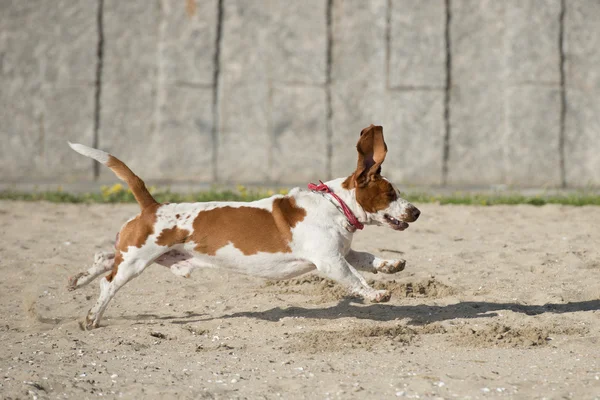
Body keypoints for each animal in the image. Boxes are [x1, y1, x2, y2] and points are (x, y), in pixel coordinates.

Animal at [68, 124, 420, 328]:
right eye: (391, 194)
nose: (416, 212)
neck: (335, 205)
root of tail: (153, 206)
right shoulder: (331, 262)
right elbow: (356, 279)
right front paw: (376, 294)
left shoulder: (342, 253)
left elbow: (368, 259)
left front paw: (391, 265)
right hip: (137, 261)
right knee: (108, 283)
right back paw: (91, 318)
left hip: (135, 254)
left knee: (104, 258)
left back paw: (77, 279)